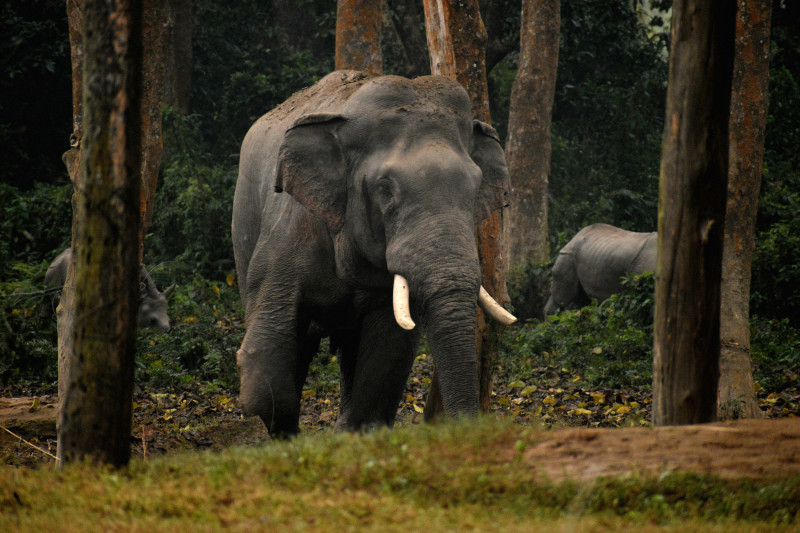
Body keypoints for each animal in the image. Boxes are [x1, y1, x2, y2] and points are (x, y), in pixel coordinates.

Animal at [234, 69, 516, 436]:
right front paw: (287, 437)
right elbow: (269, 346)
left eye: (475, 186)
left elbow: (387, 351)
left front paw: (349, 434)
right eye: (385, 189)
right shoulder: (287, 232)